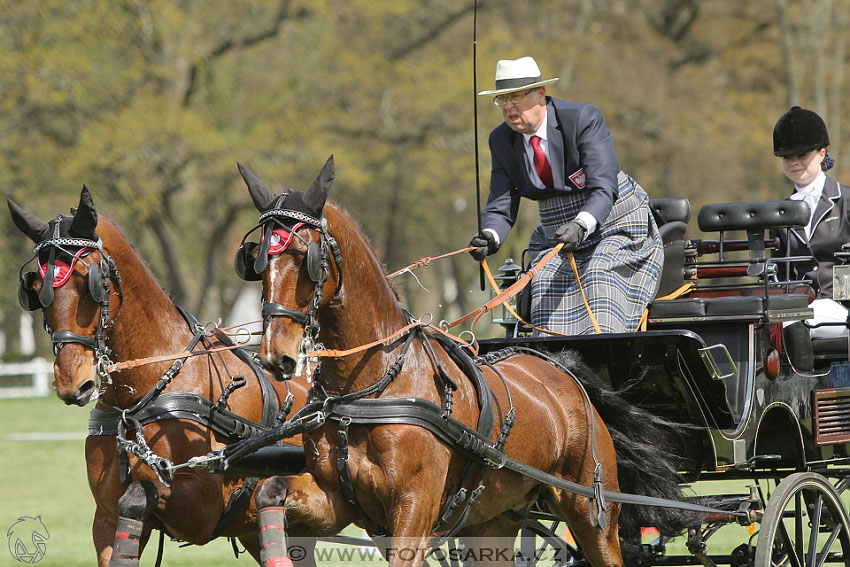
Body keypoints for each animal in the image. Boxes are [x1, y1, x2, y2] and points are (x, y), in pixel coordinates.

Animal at [6, 187, 312, 567]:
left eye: (90, 281)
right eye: (35, 287)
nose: (71, 381)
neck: (138, 399)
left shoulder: (203, 507)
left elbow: (138, 494)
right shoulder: (105, 518)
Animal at [234, 158, 696, 567]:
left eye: (306, 257)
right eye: (257, 261)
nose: (275, 354)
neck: (369, 387)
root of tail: (564, 369)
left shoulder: (414, 508)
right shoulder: (336, 498)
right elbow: (270, 490)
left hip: (591, 513)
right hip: (493, 521)